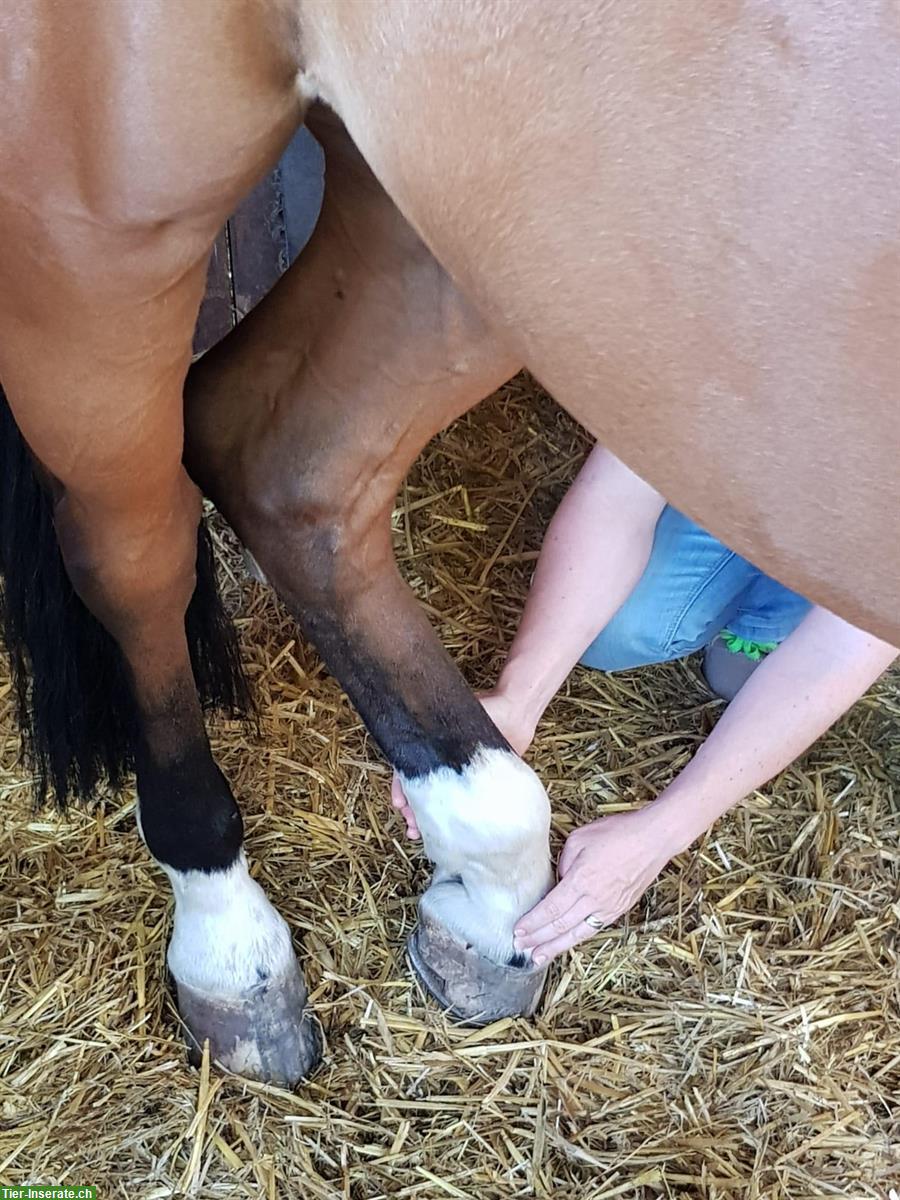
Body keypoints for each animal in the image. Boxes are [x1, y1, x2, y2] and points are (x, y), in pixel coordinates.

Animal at [0, 2, 897, 1089]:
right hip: (102, 232)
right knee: (136, 558)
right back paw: (231, 945)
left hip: (474, 240)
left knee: (284, 474)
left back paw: (484, 914)